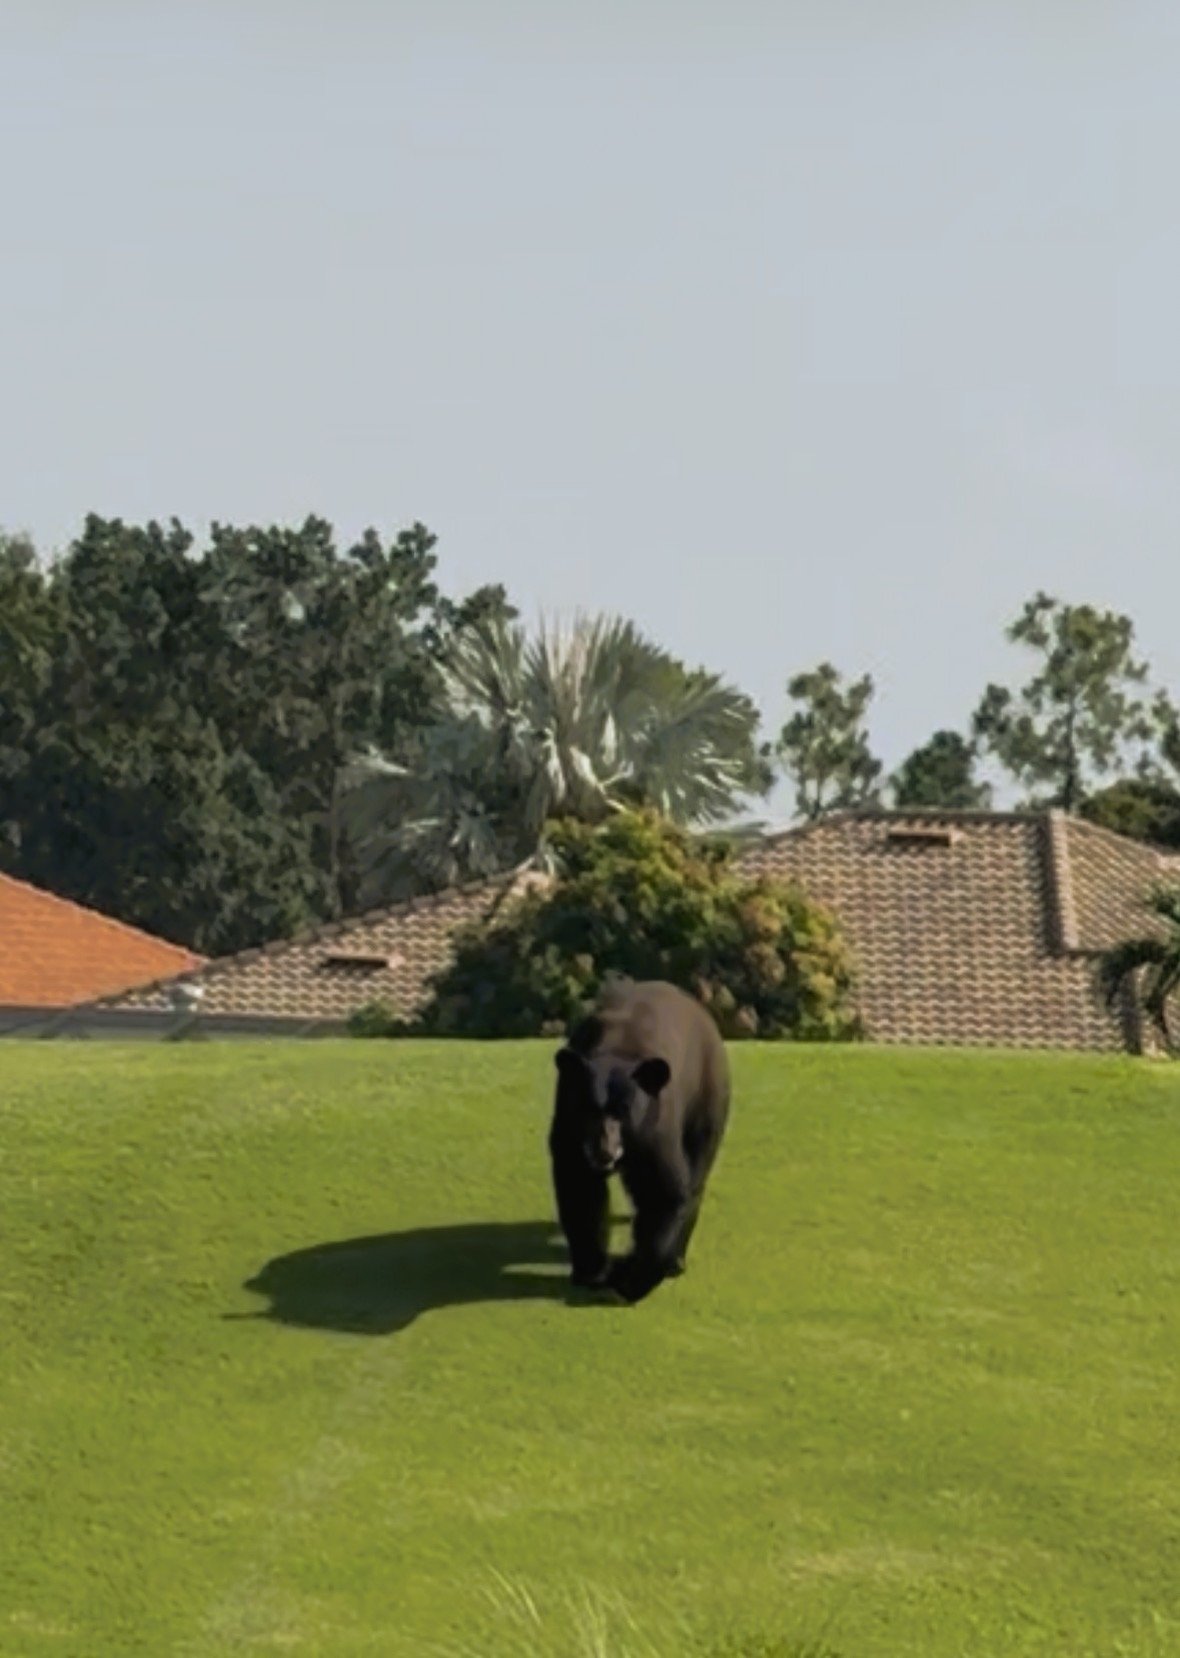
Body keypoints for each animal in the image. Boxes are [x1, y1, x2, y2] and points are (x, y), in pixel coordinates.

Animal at [548, 978, 731, 1304]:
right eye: (587, 1108)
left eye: (623, 1111)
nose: (604, 1151)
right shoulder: (568, 1128)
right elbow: (579, 1188)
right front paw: (591, 1271)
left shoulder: (655, 1132)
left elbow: (664, 1193)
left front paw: (632, 1280)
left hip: (707, 1101)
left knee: (695, 1176)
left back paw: (676, 1260)